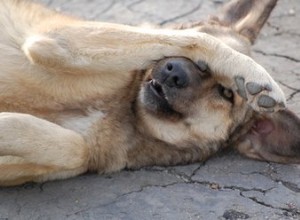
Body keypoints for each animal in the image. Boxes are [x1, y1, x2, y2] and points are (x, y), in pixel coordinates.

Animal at [0, 0, 298, 186]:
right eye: (198, 65)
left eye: (224, 93)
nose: (173, 72)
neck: (125, 109)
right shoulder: (58, 40)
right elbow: (194, 38)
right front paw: (249, 72)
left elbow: (78, 149)